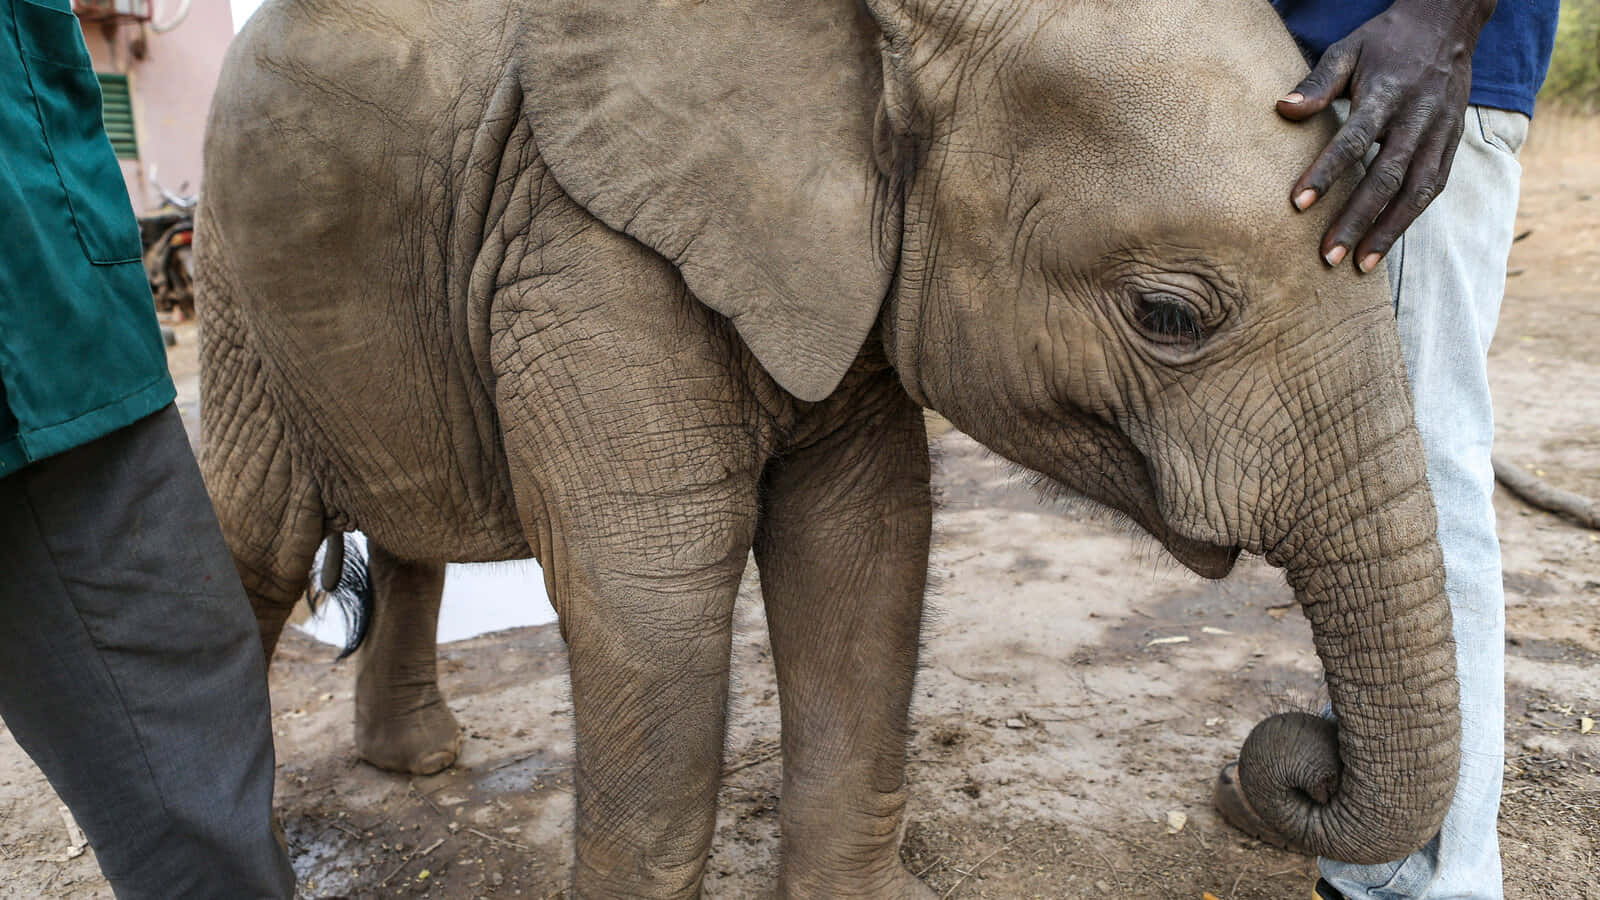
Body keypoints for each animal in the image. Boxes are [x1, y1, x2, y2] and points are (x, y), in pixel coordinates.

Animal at [196, 0, 1462, 896]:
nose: (1289, 757)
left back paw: (417, 764)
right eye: (1168, 318)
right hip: (233, 280)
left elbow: (862, 543)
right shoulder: (580, 243)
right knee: (254, 540)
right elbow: (652, 591)